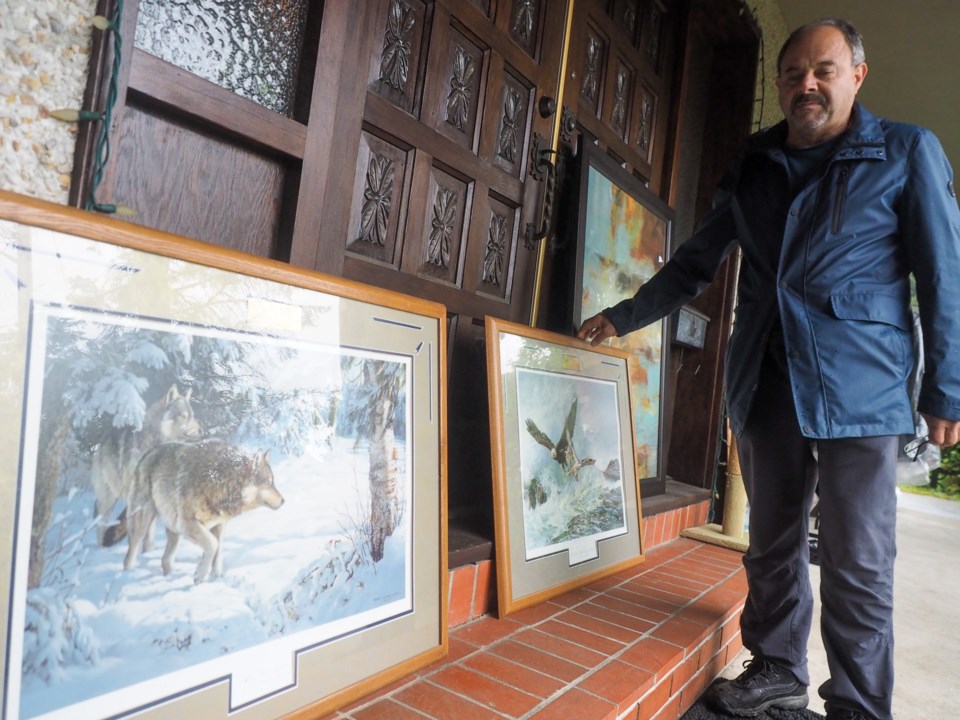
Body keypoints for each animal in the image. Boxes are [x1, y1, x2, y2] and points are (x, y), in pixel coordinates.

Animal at [91, 382, 202, 544]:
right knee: (101, 522)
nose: (202, 430)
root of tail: (100, 444)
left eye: (192, 416)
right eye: (183, 416)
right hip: (109, 498)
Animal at [123, 438, 284, 584]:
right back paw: (128, 575)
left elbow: (218, 551)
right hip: (144, 522)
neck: (219, 482)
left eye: (273, 482)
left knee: (165, 560)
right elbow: (213, 544)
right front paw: (199, 575)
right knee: (130, 554)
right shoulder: (188, 524)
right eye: (268, 483)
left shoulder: (219, 525)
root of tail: (148, 453)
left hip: (174, 529)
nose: (283, 501)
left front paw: (216, 577)